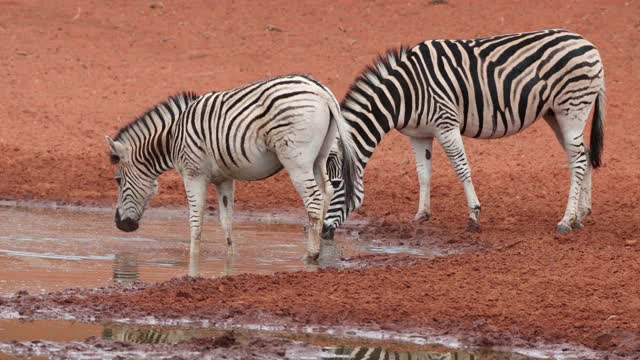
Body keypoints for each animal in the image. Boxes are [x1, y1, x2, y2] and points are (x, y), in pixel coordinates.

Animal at [104, 74, 360, 262]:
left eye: (118, 180)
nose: (119, 224)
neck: (172, 137)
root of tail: (321, 91)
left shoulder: (193, 173)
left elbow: (196, 221)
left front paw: (193, 259)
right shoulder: (223, 178)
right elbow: (226, 222)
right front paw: (230, 258)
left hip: (297, 160)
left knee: (314, 200)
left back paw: (310, 255)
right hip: (319, 157)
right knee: (326, 192)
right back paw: (318, 251)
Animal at [320, 28, 604, 236]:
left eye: (337, 185)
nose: (322, 232)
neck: (403, 94)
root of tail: (589, 44)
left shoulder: (446, 123)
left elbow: (461, 168)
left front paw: (473, 216)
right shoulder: (418, 134)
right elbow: (423, 174)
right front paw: (420, 216)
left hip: (571, 110)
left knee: (579, 159)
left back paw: (566, 221)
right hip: (555, 114)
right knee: (584, 154)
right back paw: (581, 215)